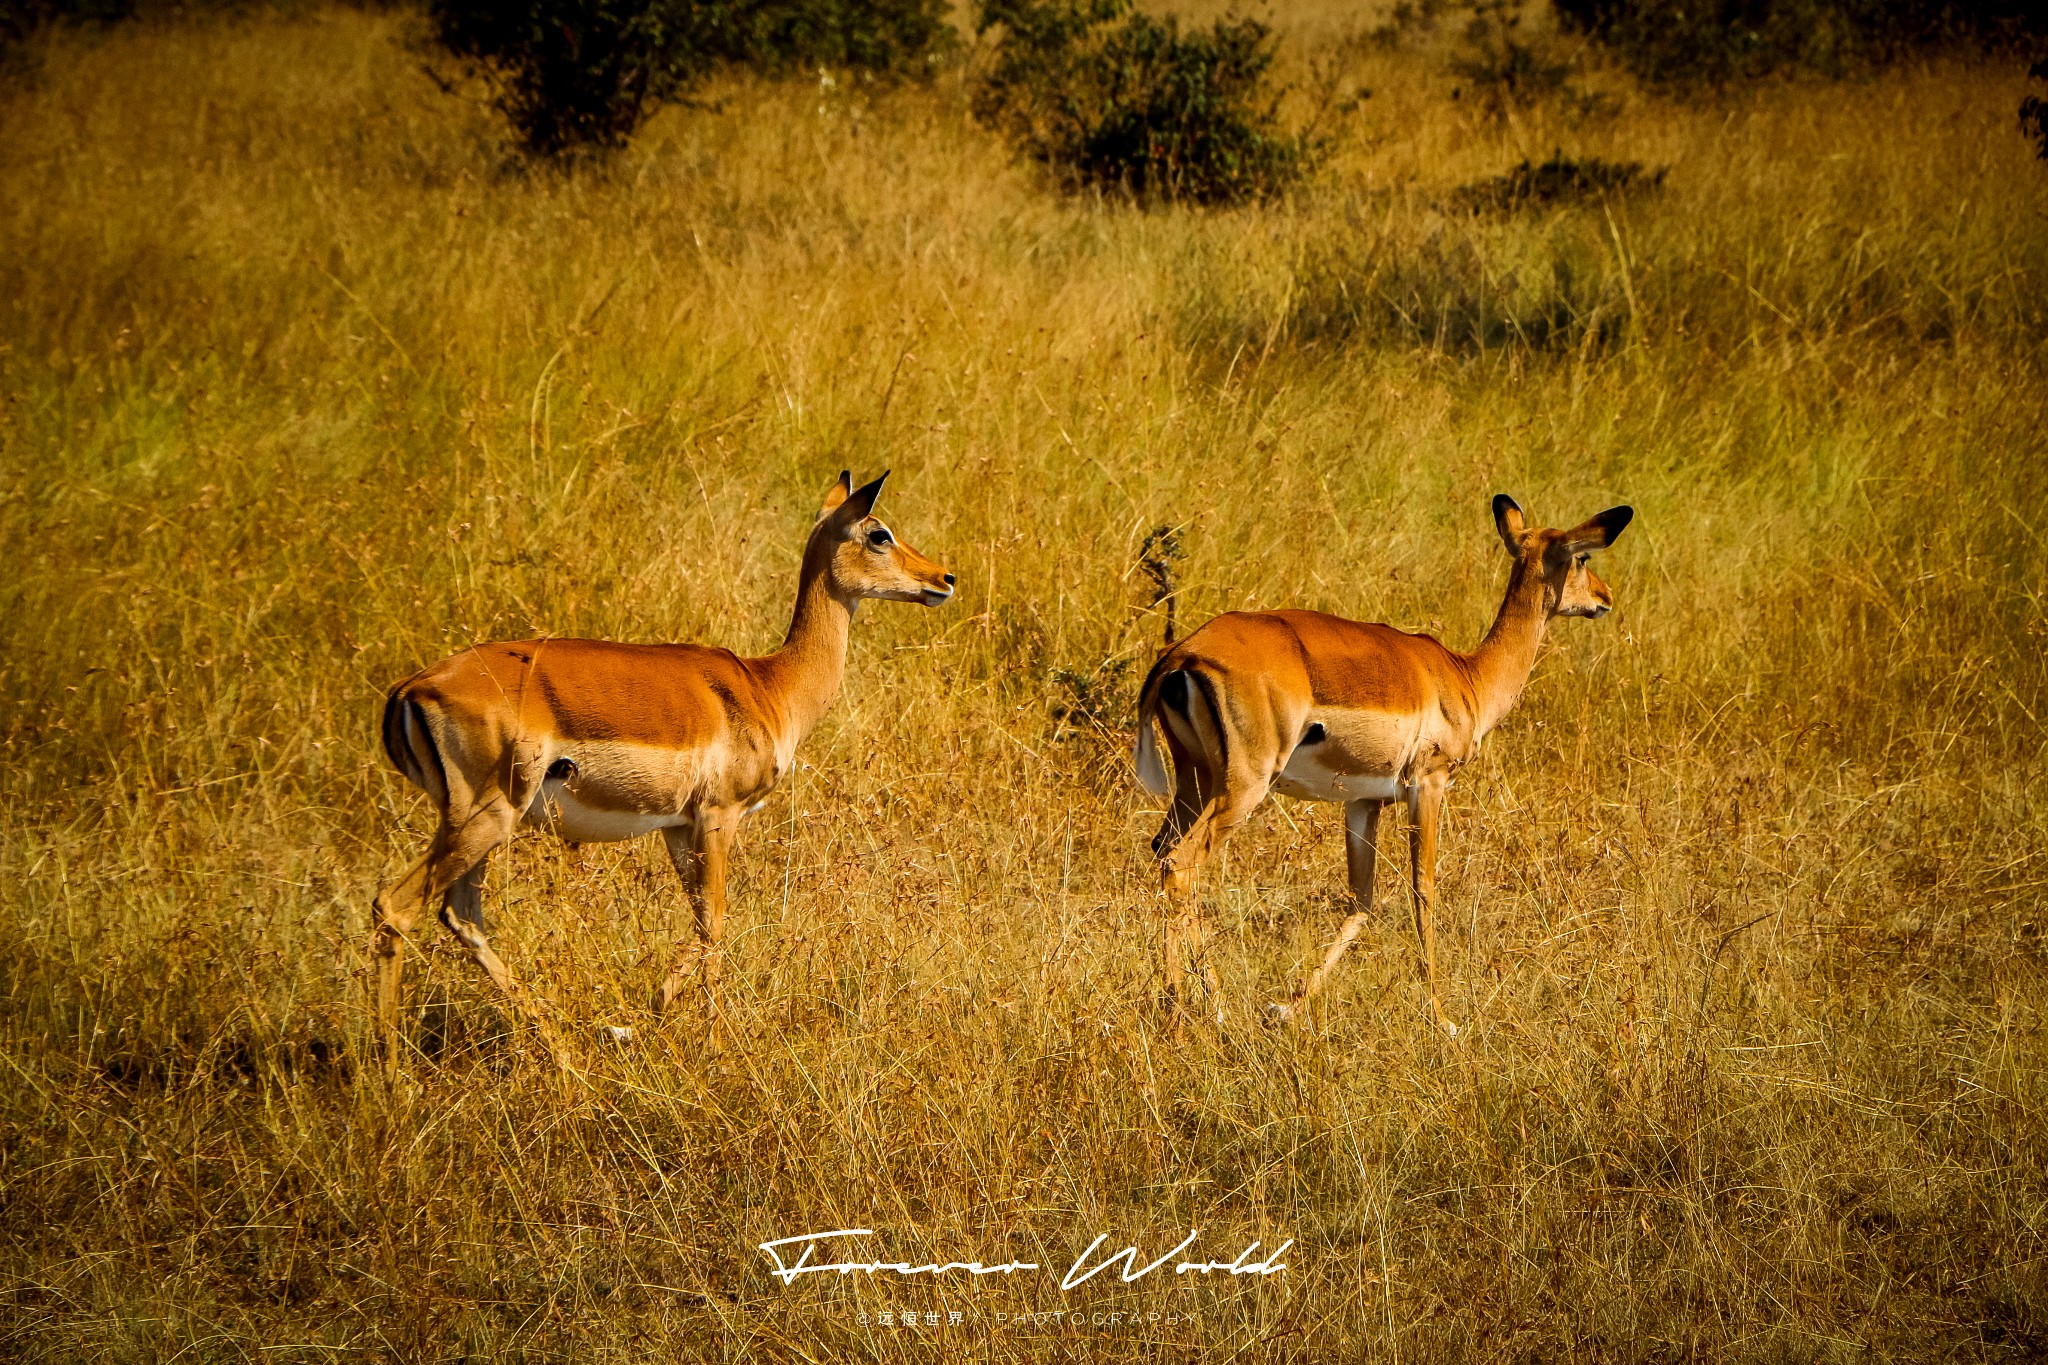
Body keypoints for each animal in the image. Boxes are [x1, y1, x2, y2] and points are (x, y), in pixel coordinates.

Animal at [374, 474, 950, 1055]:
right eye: (878, 533)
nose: (943, 578)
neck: (769, 687)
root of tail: (411, 688)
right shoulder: (720, 815)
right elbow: (716, 921)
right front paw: (715, 1043)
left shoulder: (676, 827)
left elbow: (698, 922)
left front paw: (651, 1013)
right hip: (486, 817)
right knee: (395, 906)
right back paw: (389, 1062)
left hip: (479, 826)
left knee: (460, 914)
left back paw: (561, 1042)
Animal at [1138, 497, 1630, 1031]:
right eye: (1581, 557)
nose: (1604, 596)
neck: (1467, 676)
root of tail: (1181, 656)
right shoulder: (1428, 785)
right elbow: (1424, 890)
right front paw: (1443, 1019)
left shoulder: (1363, 802)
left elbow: (1361, 902)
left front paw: (1288, 1007)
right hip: (1243, 786)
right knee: (1181, 863)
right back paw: (1207, 1004)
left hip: (1197, 779)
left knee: (1162, 851)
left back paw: (1179, 998)